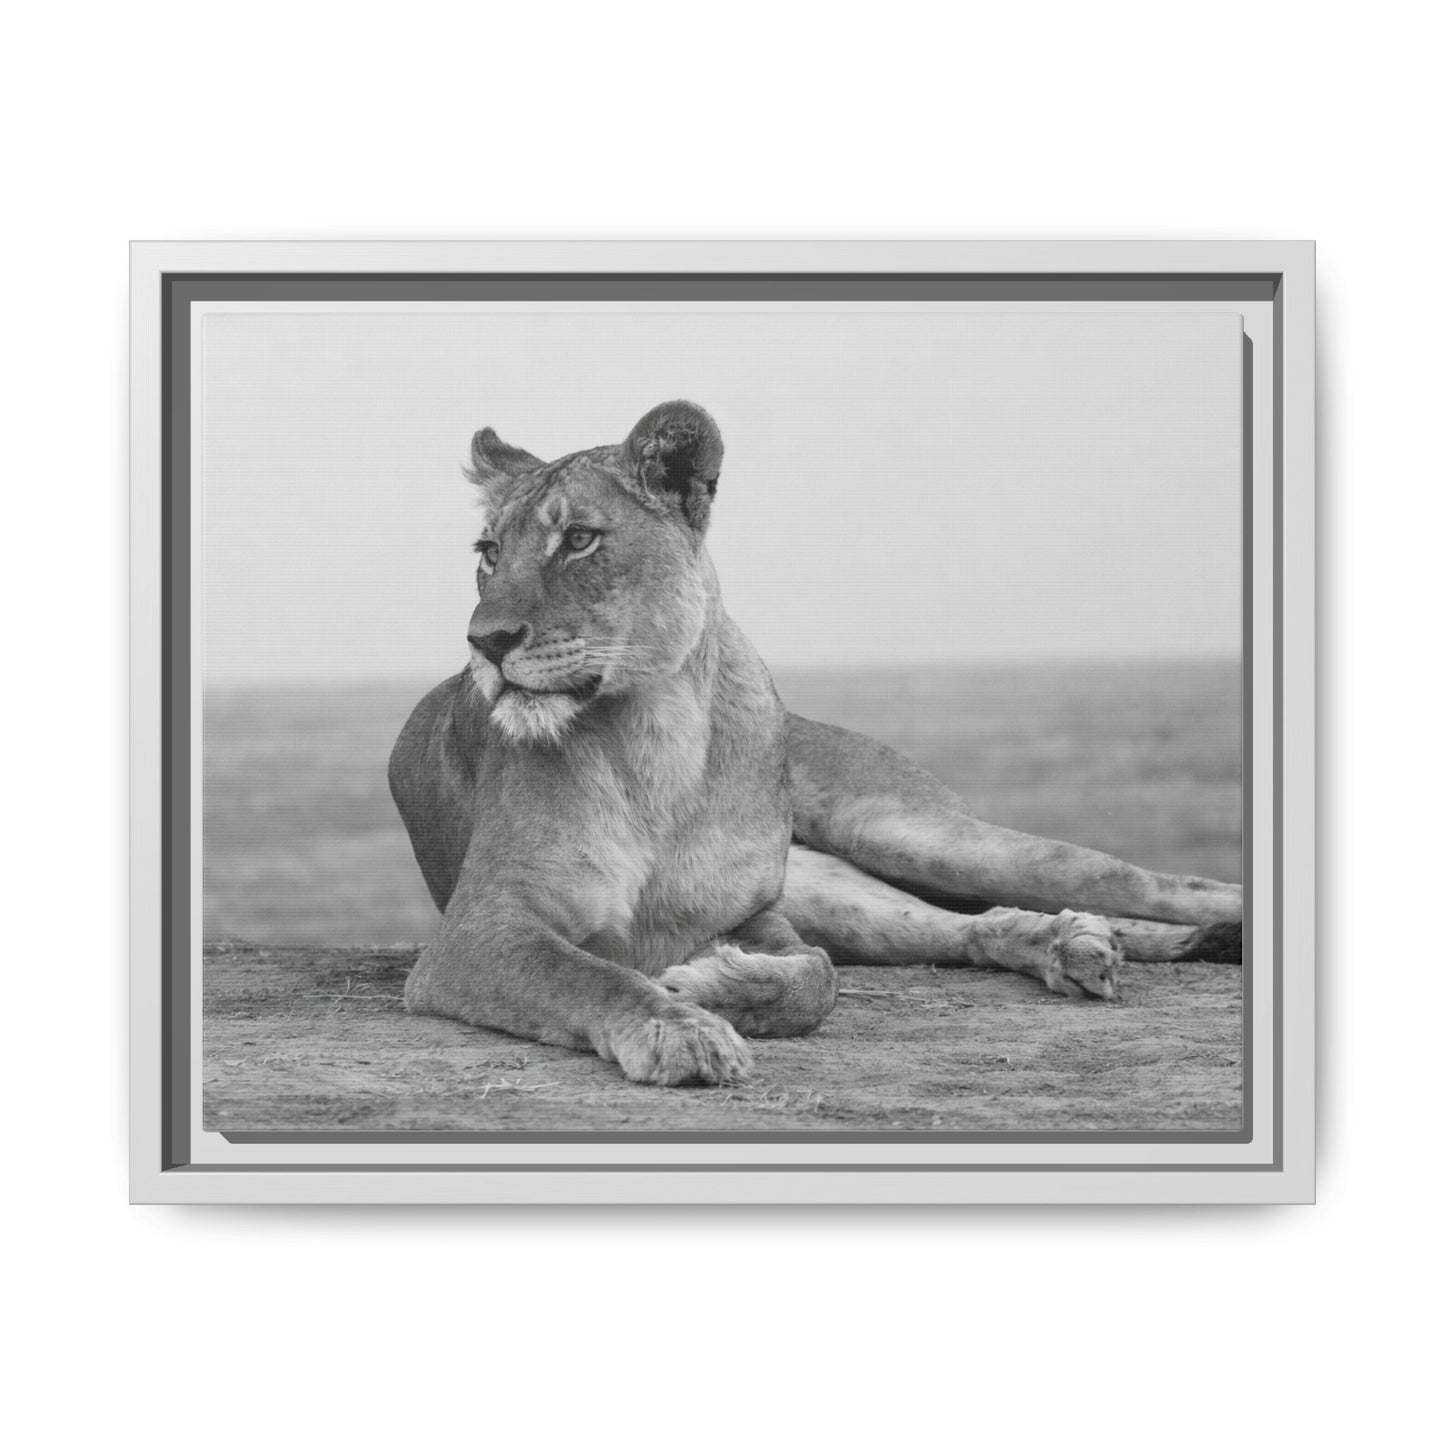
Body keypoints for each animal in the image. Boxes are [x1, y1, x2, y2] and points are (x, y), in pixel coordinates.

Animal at [389, 401, 1243, 1086]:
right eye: (488, 553)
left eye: (577, 539)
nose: (485, 642)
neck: (655, 737)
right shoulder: (479, 930)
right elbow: (590, 975)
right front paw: (680, 1027)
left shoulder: (758, 912)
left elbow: (816, 979)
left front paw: (705, 986)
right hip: (841, 887)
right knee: (964, 927)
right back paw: (1069, 942)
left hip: (905, 831)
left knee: (1149, 882)